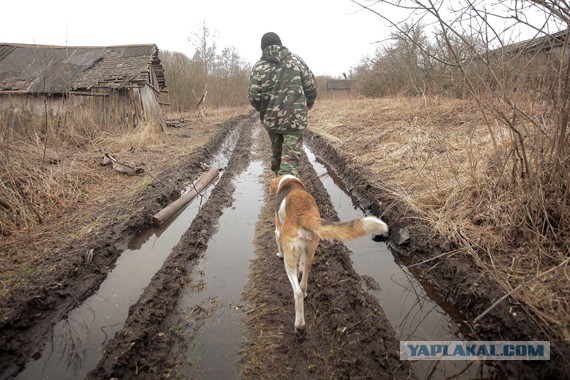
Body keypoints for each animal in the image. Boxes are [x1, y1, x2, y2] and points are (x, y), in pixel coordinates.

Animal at [268, 174, 388, 336]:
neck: (288, 181)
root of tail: (304, 214)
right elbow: (301, 265)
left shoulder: (278, 231)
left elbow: (277, 240)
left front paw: (279, 254)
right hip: (310, 250)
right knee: (304, 280)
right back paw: (305, 292)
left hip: (290, 260)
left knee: (297, 292)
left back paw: (299, 325)